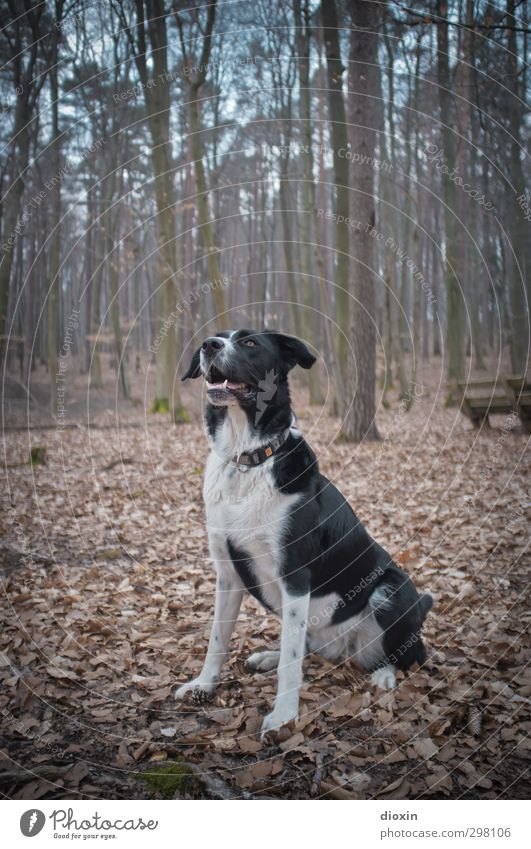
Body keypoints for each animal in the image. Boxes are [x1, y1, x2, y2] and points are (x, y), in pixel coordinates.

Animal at [175, 328, 432, 740]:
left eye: (250, 343)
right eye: (217, 337)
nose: (209, 345)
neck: (246, 461)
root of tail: (345, 649)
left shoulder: (294, 577)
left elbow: (291, 664)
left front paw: (283, 717)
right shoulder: (227, 573)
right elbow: (217, 638)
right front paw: (204, 684)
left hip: (391, 591)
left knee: (412, 654)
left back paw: (384, 676)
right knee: (305, 644)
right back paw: (269, 655)